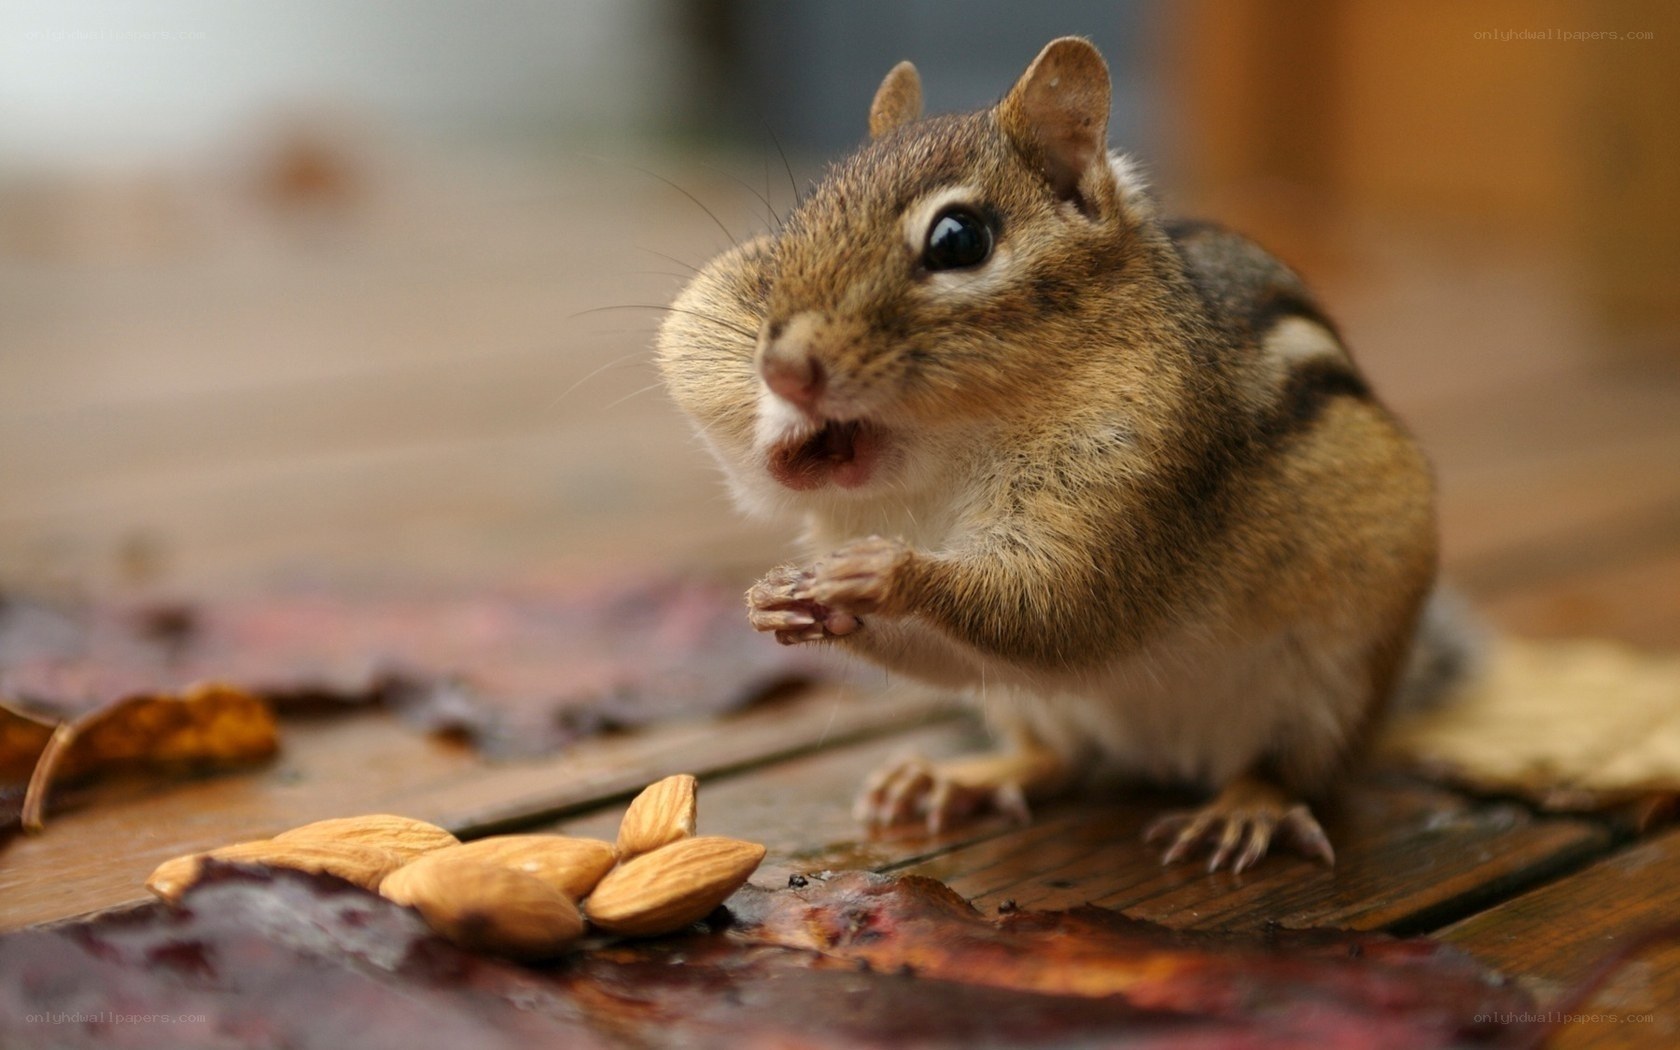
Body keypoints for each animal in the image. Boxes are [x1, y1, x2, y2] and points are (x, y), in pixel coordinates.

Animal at [656, 37, 1456, 872]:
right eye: (801, 219)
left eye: (959, 239)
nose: (781, 370)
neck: (955, 442)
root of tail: (1161, 756)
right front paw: (779, 599)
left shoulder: (1143, 472)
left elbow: (1063, 605)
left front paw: (884, 572)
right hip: (1026, 704)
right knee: (1057, 758)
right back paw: (958, 776)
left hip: (1332, 686)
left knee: (1285, 768)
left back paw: (1245, 810)